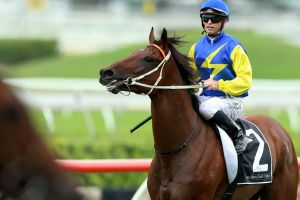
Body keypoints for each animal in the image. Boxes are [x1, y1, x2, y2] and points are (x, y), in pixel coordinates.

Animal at [99, 27, 298, 198]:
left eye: (148, 58)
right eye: (134, 52)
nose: (105, 72)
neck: (173, 152)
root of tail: (279, 128)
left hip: (283, 190)